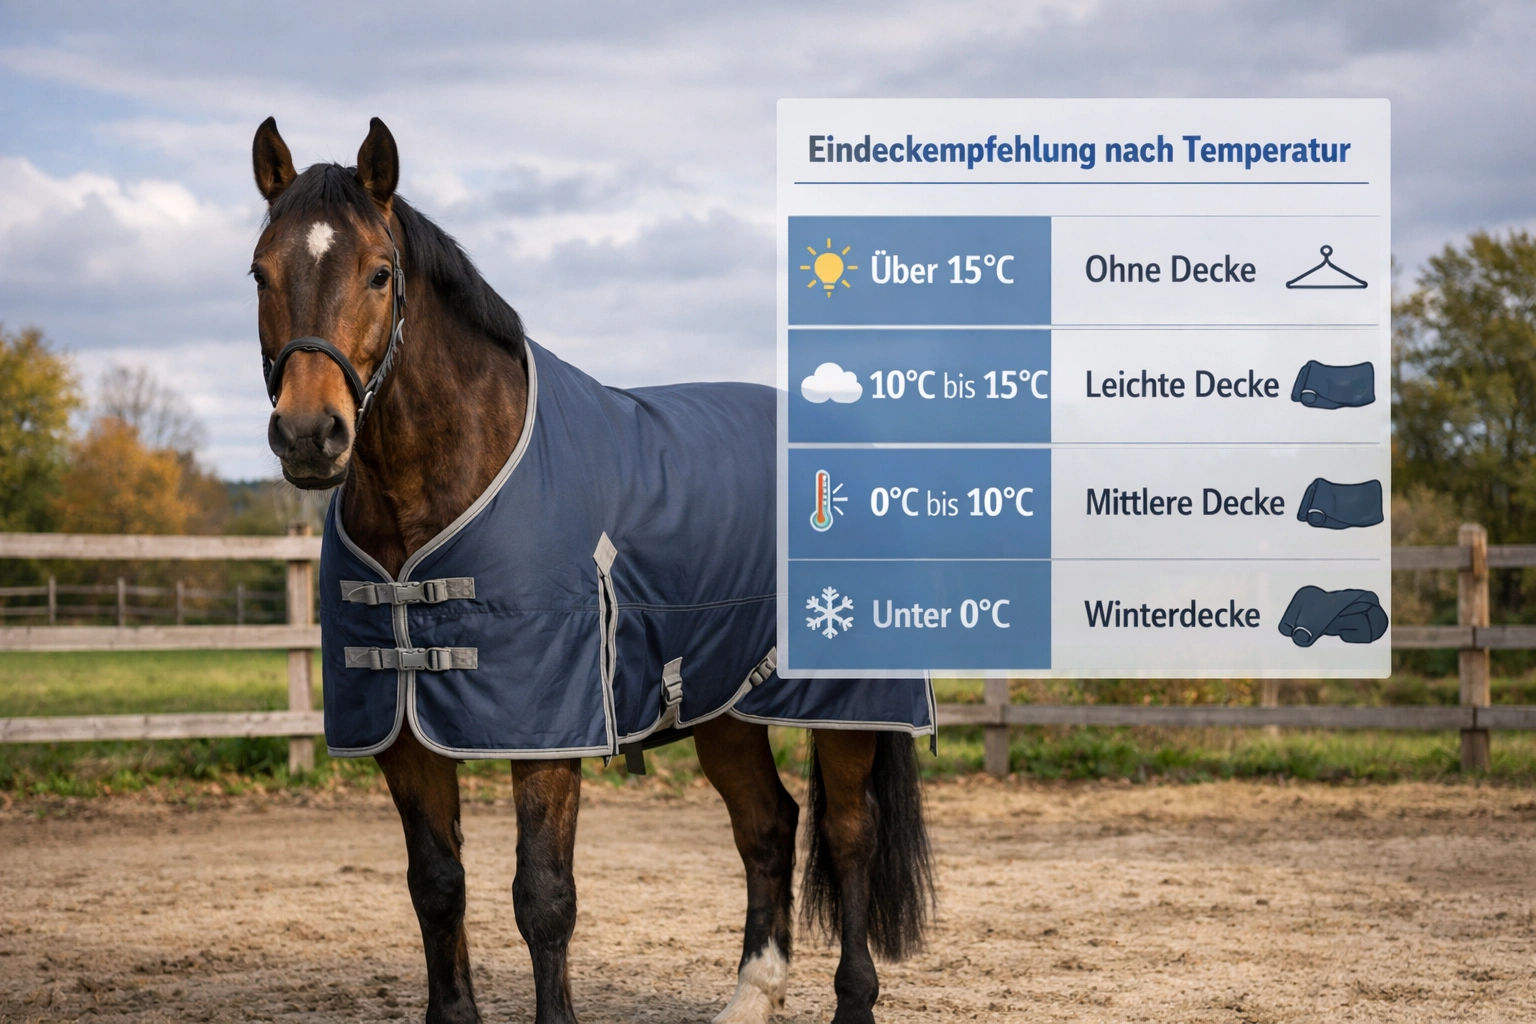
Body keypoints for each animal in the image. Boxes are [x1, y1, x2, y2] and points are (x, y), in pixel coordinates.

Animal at [249, 116, 934, 1024]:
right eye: (260, 270)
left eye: (379, 272)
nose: (308, 434)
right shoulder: (402, 730)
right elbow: (437, 886)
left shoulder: (547, 730)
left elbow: (543, 897)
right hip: (722, 707)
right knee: (768, 826)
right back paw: (751, 996)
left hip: (847, 706)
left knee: (851, 835)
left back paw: (851, 1000)